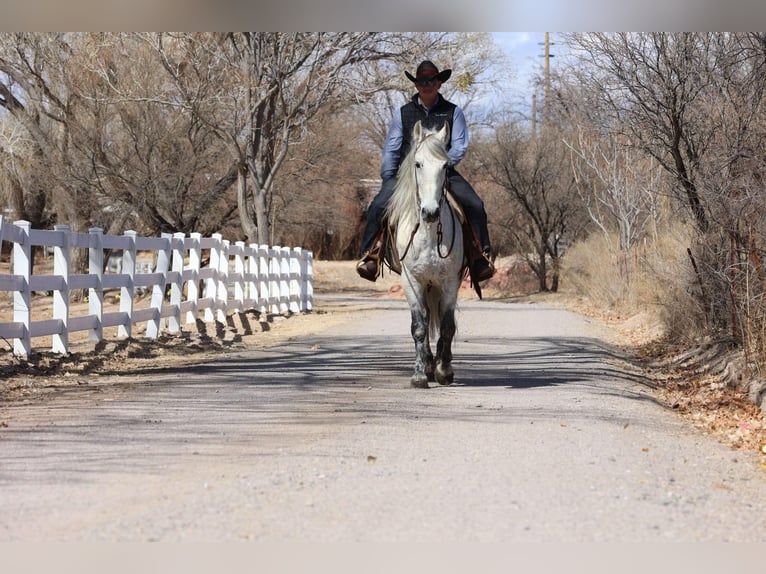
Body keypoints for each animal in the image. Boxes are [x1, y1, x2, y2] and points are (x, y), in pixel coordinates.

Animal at [388, 121, 464, 392]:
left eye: (445, 166)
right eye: (418, 164)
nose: (430, 212)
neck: (429, 234)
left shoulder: (450, 282)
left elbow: (447, 326)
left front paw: (444, 370)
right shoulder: (412, 282)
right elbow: (419, 328)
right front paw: (420, 374)